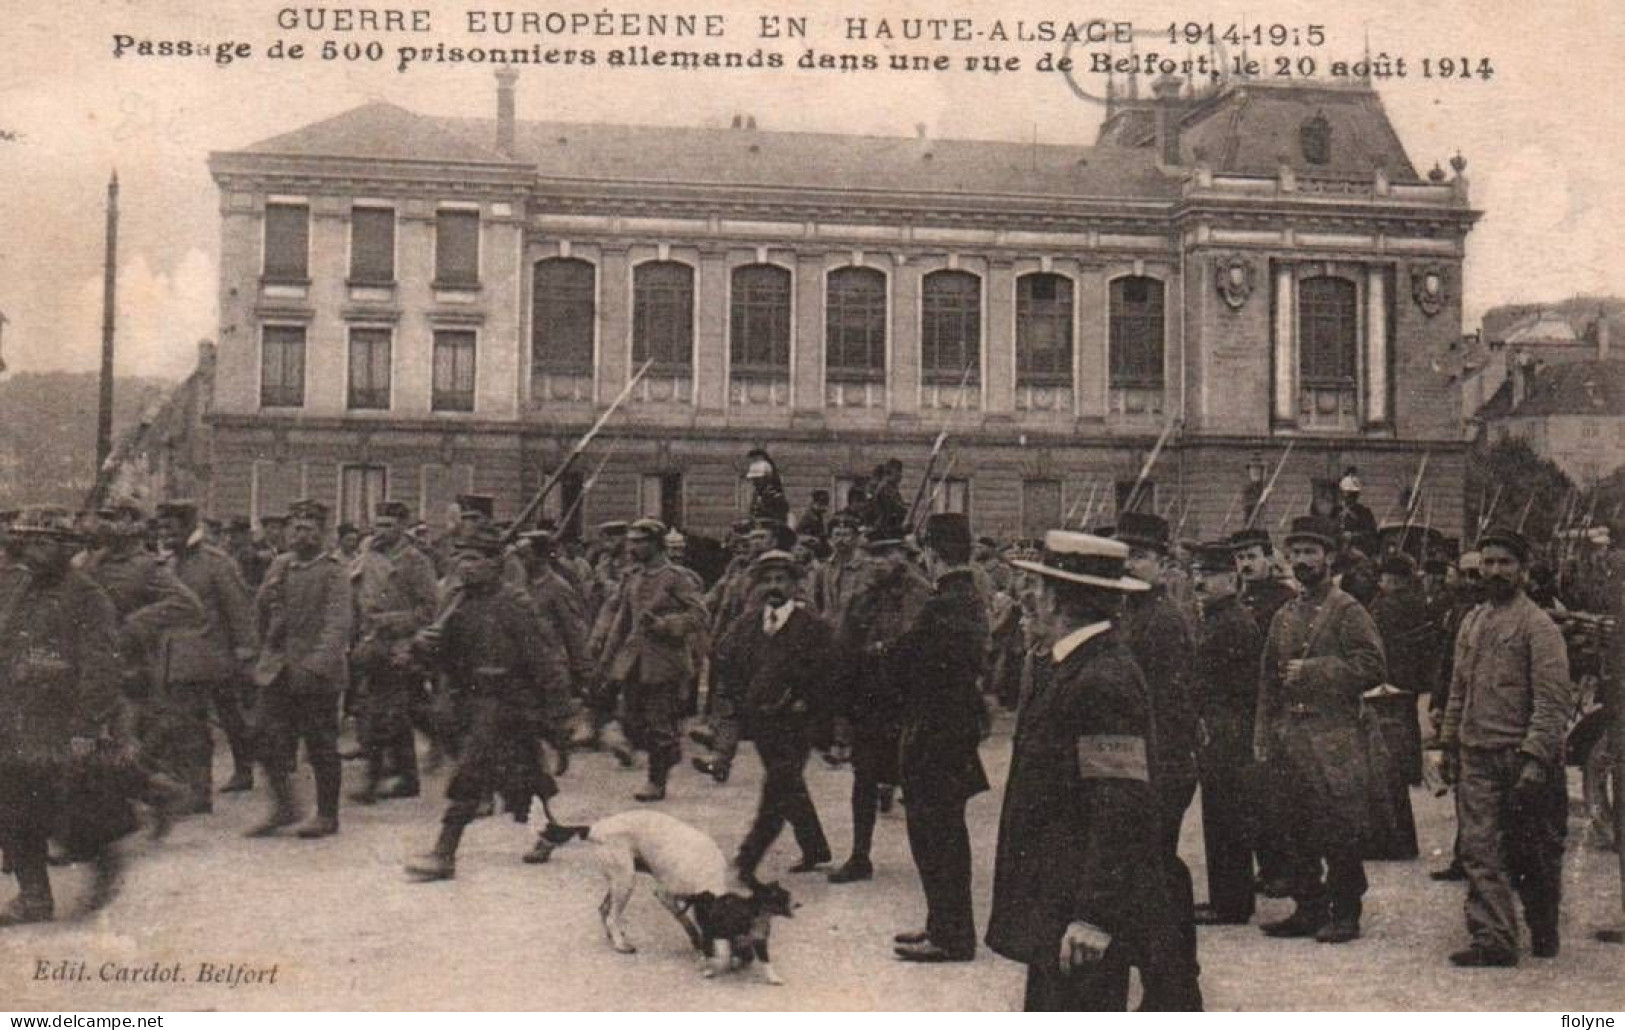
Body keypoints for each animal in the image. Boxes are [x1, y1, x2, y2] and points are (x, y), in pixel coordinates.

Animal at [542, 805, 796, 981]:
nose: (746, 957)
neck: (705, 874)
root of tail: (595, 828)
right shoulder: (665, 895)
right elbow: (688, 924)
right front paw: (700, 948)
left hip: (620, 880)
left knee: (604, 909)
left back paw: (614, 936)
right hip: (626, 879)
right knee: (613, 915)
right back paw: (621, 945)